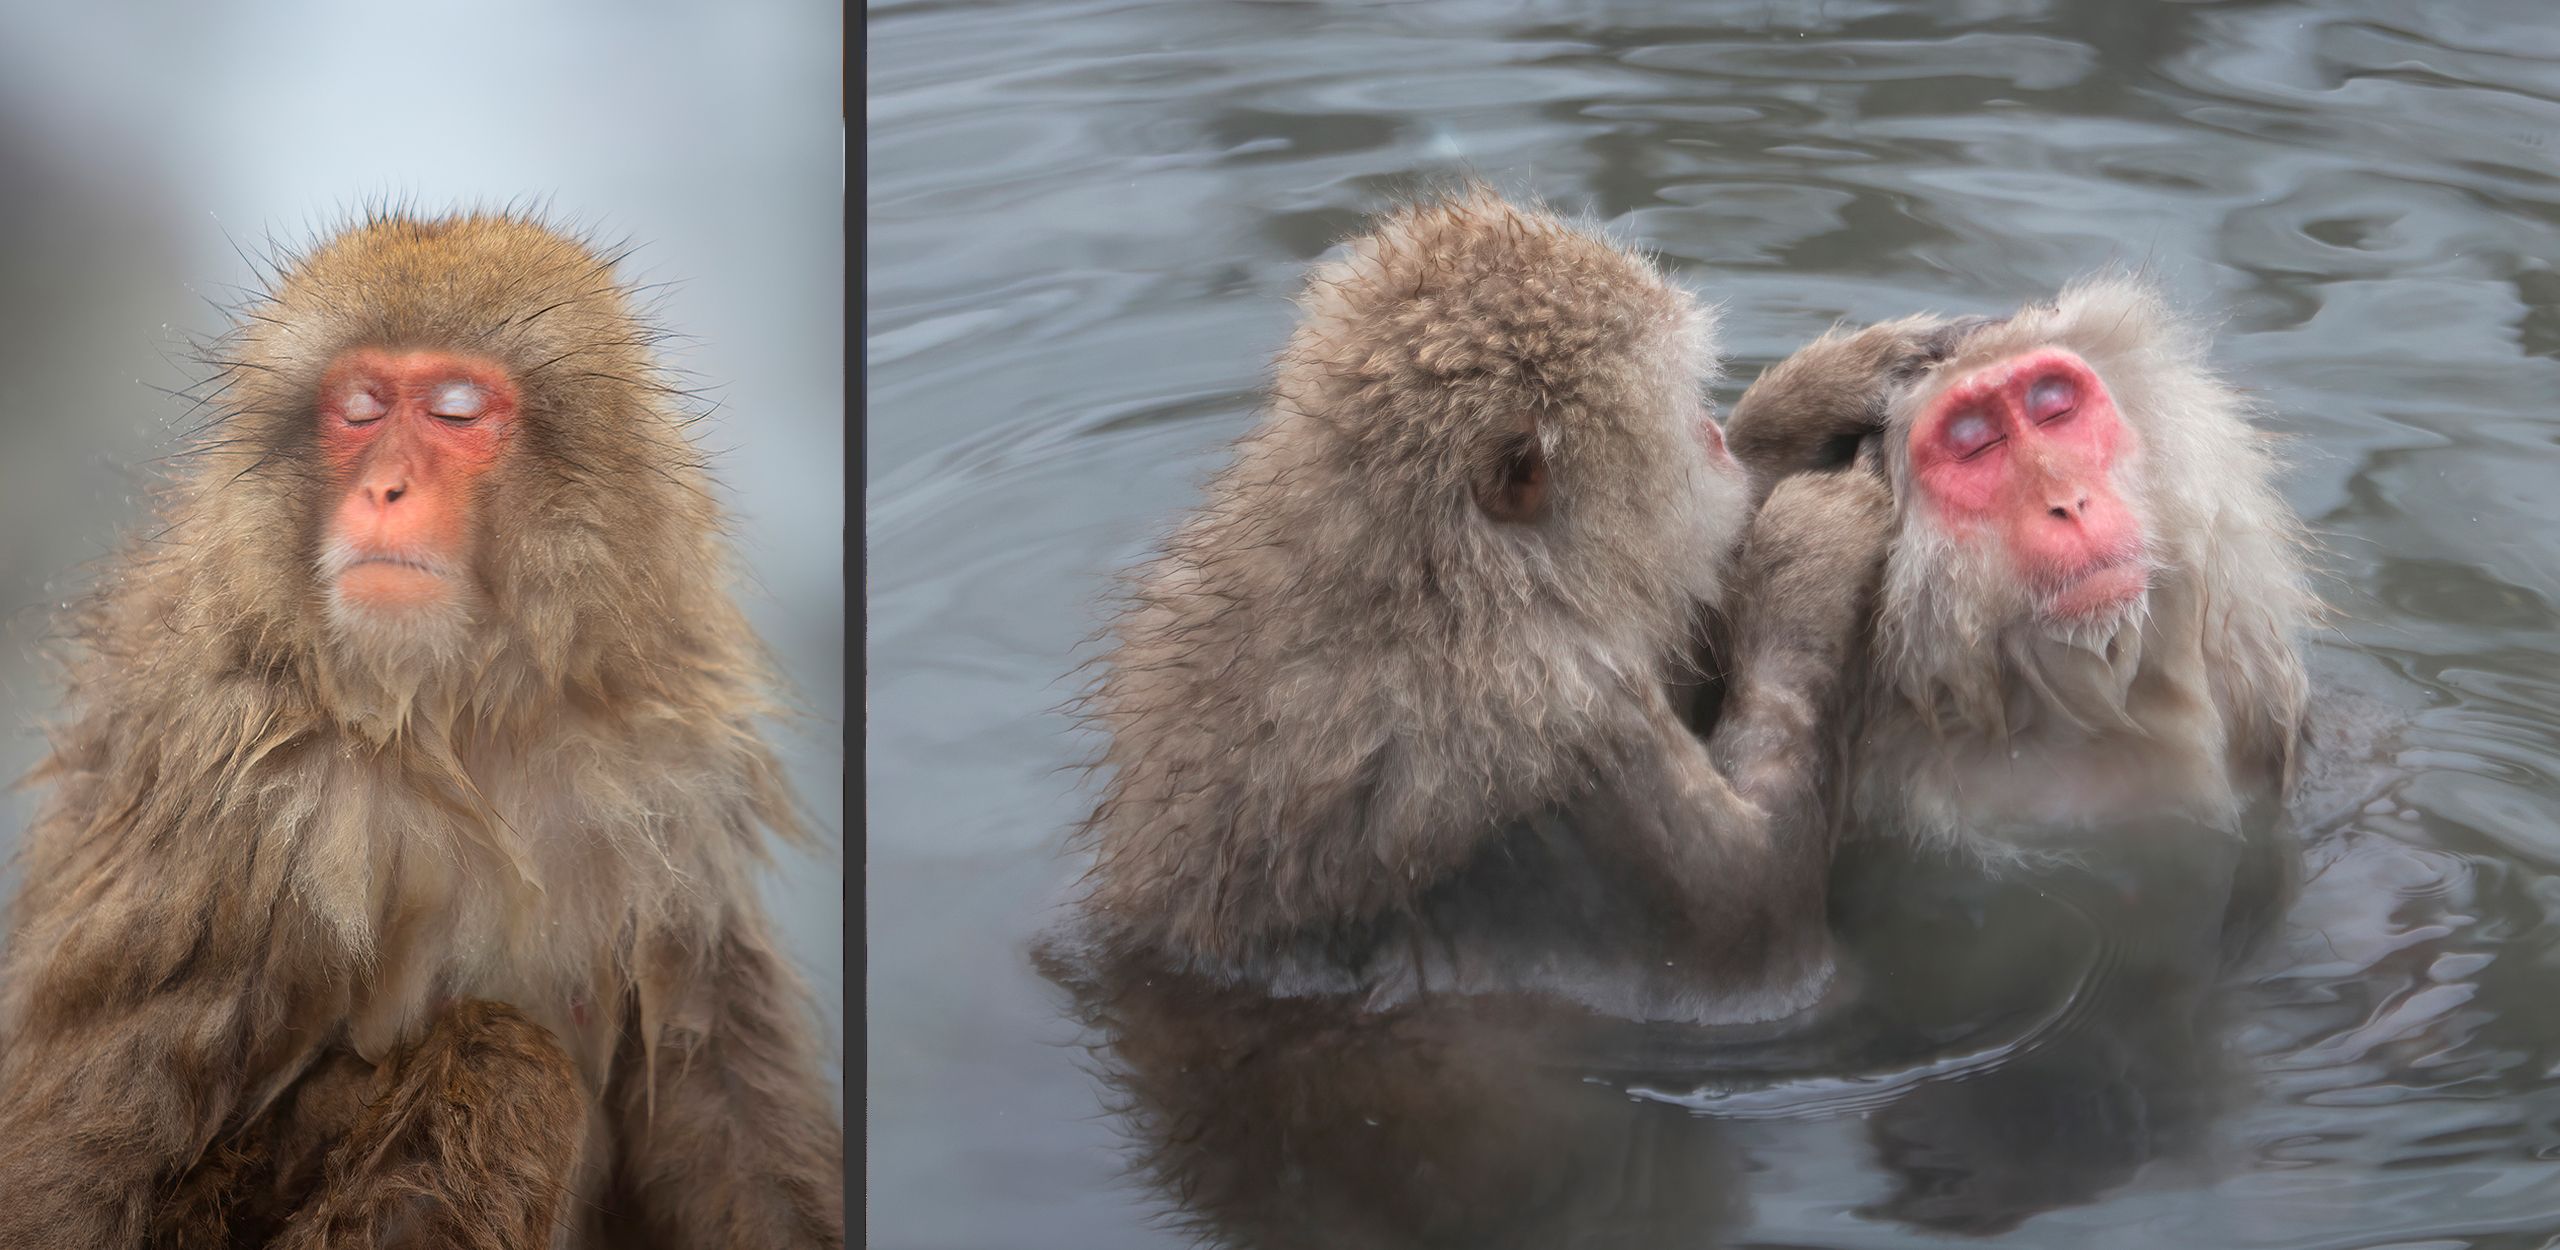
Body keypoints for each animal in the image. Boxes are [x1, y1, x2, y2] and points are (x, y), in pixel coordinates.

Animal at [0, 212, 844, 1248]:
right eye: (361, 411)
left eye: (454, 414)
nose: (385, 490)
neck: (458, 717)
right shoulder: (228, 792)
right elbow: (79, 1163)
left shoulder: (672, 782)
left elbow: (714, 1087)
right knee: (507, 1065)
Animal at [1071, 188, 1896, 1025]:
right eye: (1680, 420)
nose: (1714, 438)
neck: (1429, 588)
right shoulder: (1552, 722)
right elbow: (1757, 916)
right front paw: (1808, 548)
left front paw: (1806, 401)